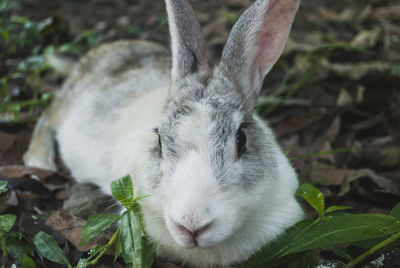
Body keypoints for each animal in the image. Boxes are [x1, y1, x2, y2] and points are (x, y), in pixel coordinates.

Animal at [23, 0, 304, 266]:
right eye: (159, 141)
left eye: (241, 139)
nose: (192, 225)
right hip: (65, 106)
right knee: (46, 117)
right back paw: (40, 162)